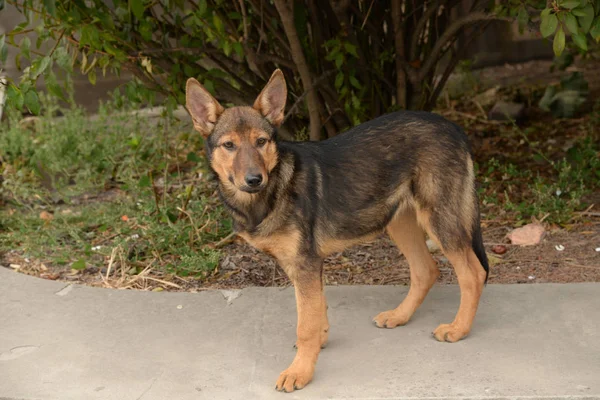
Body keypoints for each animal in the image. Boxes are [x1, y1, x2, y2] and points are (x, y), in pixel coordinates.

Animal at [185, 69, 490, 390]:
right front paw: (317, 345)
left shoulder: (304, 264)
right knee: (426, 270)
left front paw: (299, 371)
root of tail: (451, 126)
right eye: (229, 145)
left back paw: (458, 329)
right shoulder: (307, 265)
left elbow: (306, 323)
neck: (274, 188)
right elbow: (316, 311)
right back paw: (399, 315)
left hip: (438, 220)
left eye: (261, 141)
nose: (254, 179)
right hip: (400, 221)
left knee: (473, 274)